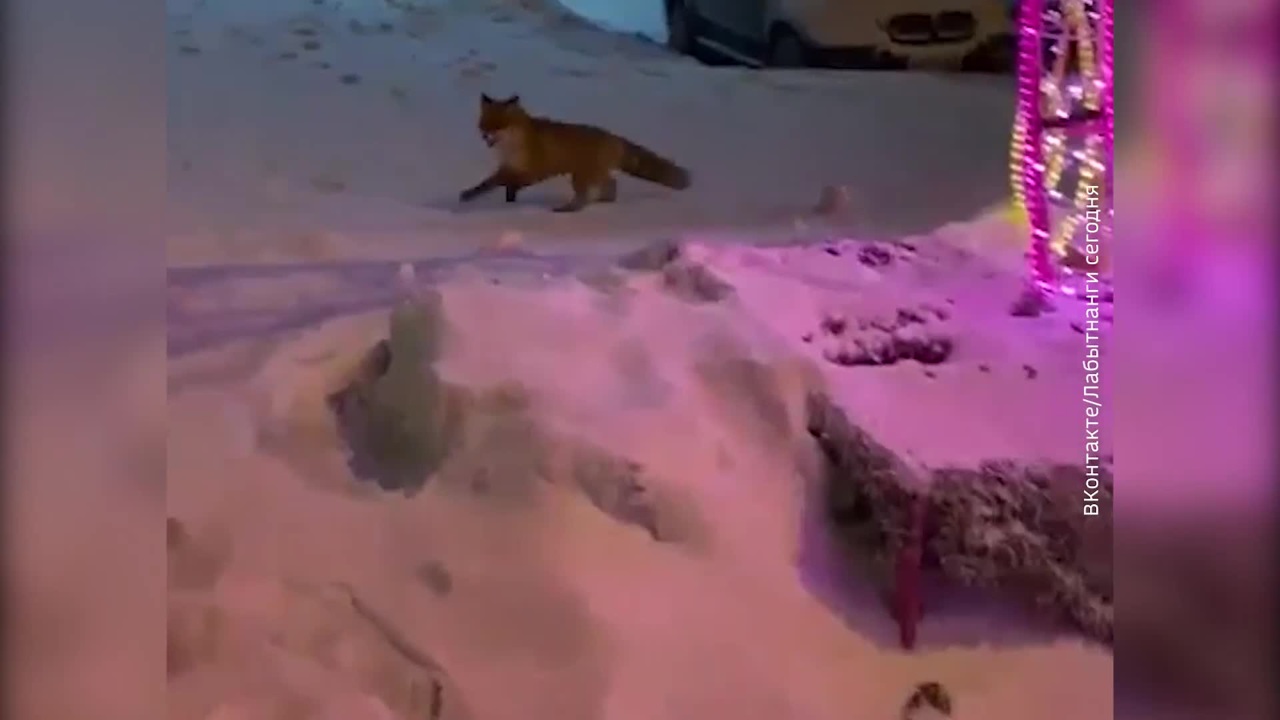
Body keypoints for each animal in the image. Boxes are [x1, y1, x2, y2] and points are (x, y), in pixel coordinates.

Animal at [459, 93, 691, 213]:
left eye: (499, 125)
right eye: (484, 124)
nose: (486, 137)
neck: (514, 145)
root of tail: (613, 137)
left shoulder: (533, 170)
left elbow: (497, 182)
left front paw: (472, 195)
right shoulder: (511, 167)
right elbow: (498, 184)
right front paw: (506, 201)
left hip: (580, 177)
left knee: (586, 197)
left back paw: (568, 209)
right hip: (590, 175)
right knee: (611, 185)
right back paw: (603, 201)